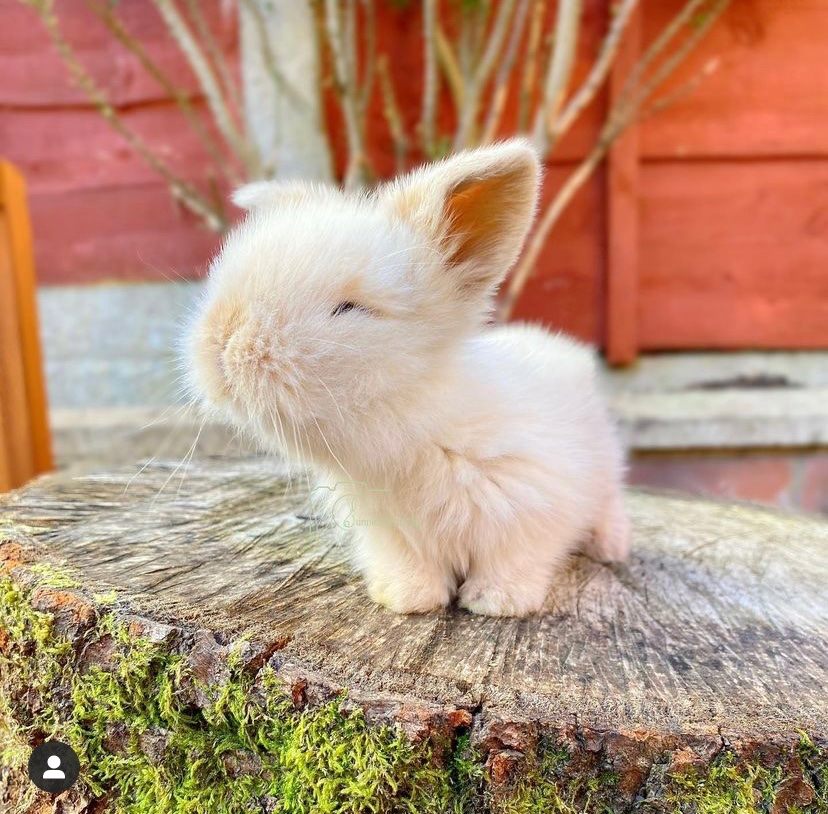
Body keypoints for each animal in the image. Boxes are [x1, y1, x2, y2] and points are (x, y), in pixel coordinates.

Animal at [186, 139, 628, 620]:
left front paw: (497, 603)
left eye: (351, 309)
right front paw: (406, 599)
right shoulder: (390, 534)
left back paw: (611, 548)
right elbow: (410, 567)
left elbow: (514, 560)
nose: (222, 343)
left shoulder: (535, 507)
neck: (419, 432)